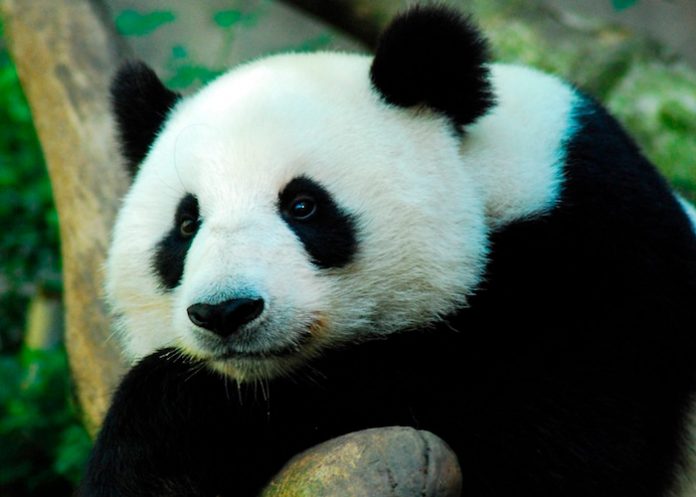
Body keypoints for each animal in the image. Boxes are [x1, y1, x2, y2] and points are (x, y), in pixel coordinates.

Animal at [80, 5, 696, 497]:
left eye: (303, 206)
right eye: (187, 224)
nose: (226, 311)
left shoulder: (597, 272)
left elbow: (536, 446)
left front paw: (161, 435)